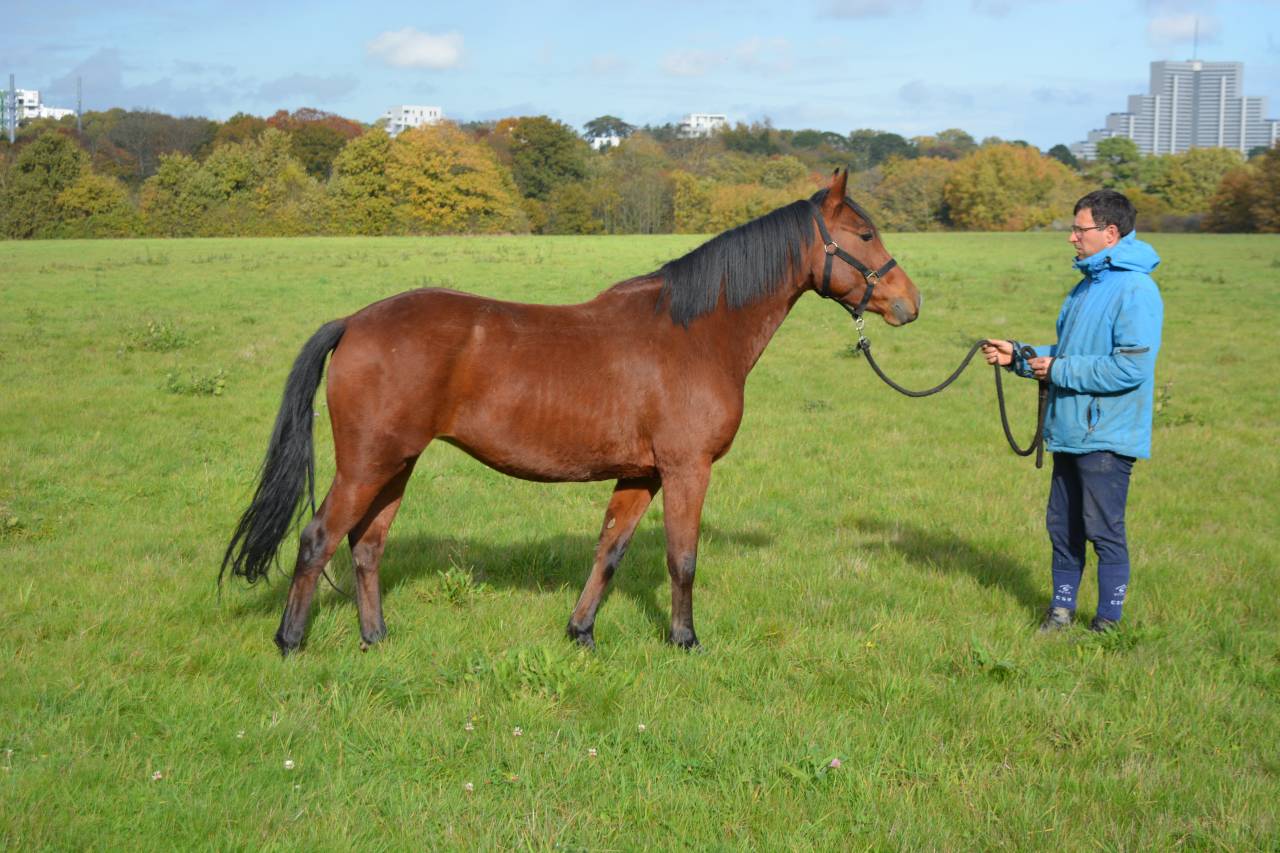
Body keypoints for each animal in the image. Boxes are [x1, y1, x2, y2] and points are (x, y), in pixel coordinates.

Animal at [222, 168, 921, 655]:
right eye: (864, 234)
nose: (909, 302)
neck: (693, 332)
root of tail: (355, 323)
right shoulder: (686, 469)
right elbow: (682, 559)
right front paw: (685, 640)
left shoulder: (640, 474)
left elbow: (610, 551)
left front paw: (581, 631)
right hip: (367, 464)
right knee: (318, 539)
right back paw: (291, 642)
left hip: (396, 465)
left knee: (367, 547)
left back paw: (377, 638)